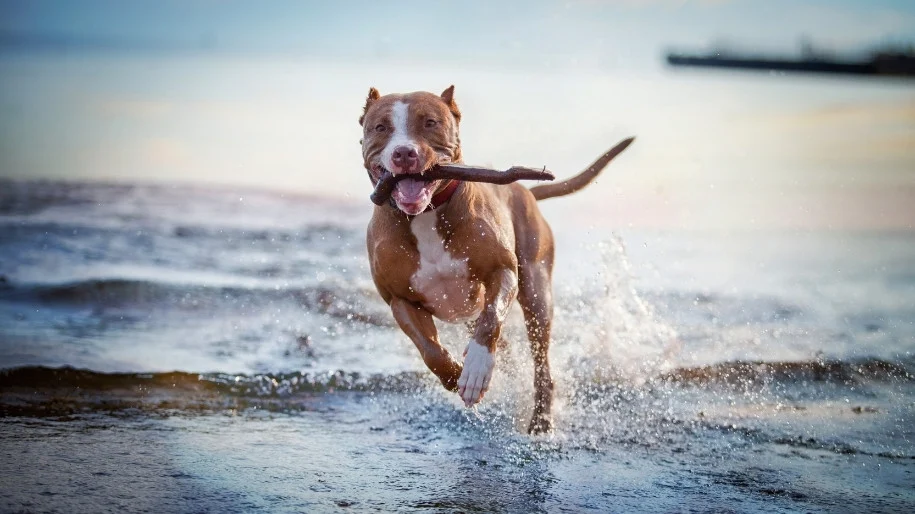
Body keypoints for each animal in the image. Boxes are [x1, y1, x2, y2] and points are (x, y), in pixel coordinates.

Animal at [358, 85, 628, 432]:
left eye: (430, 122)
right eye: (381, 127)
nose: (404, 153)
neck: (426, 215)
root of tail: (525, 191)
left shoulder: (502, 272)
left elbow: (491, 321)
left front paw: (476, 370)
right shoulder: (400, 299)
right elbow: (430, 350)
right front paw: (455, 375)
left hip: (537, 292)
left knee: (541, 363)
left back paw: (540, 421)